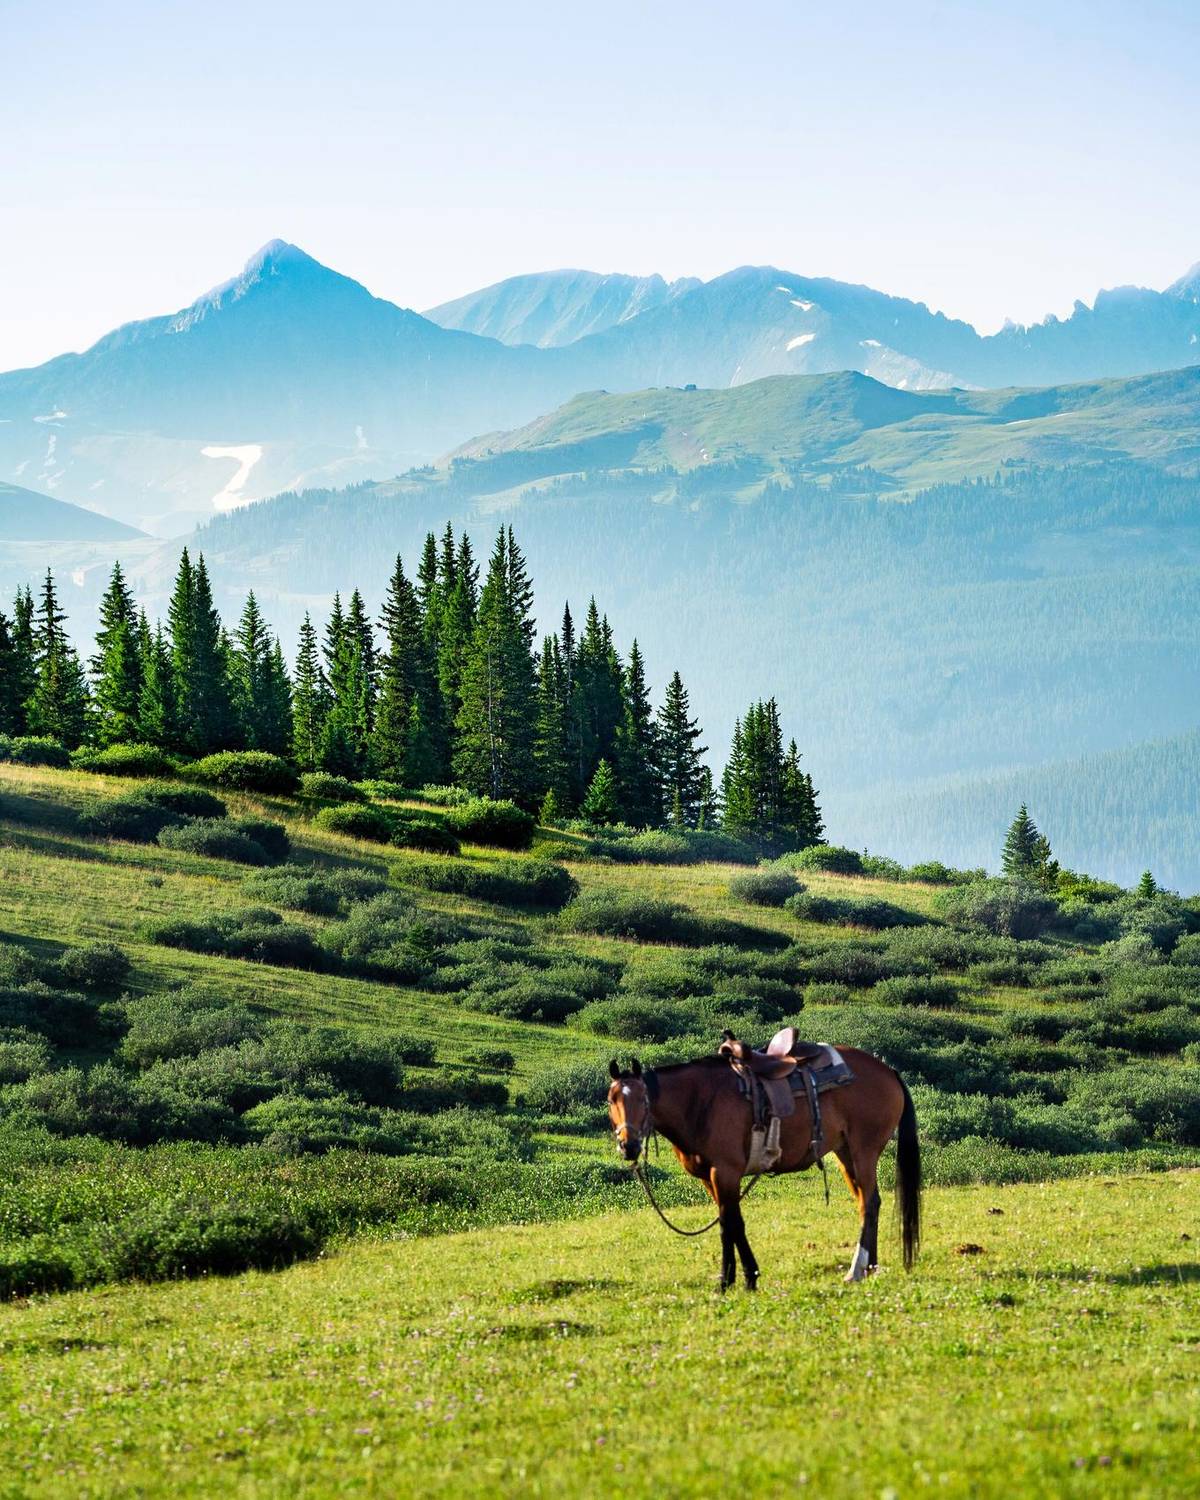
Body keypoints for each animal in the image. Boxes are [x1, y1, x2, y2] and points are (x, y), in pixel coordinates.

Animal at [606, 1046, 921, 1290]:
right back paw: (870, 1267)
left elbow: (731, 1223)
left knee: (869, 1203)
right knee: (867, 1203)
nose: (628, 1146)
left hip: (863, 1150)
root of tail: (888, 1071)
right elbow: (729, 1222)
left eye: (643, 1099)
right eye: (612, 1099)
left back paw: (856, 1270)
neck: (701, 1103)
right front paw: (736, 1277)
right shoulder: (710, 1178)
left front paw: (739, 1279)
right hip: (845, 1154)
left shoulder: (725, 1172)